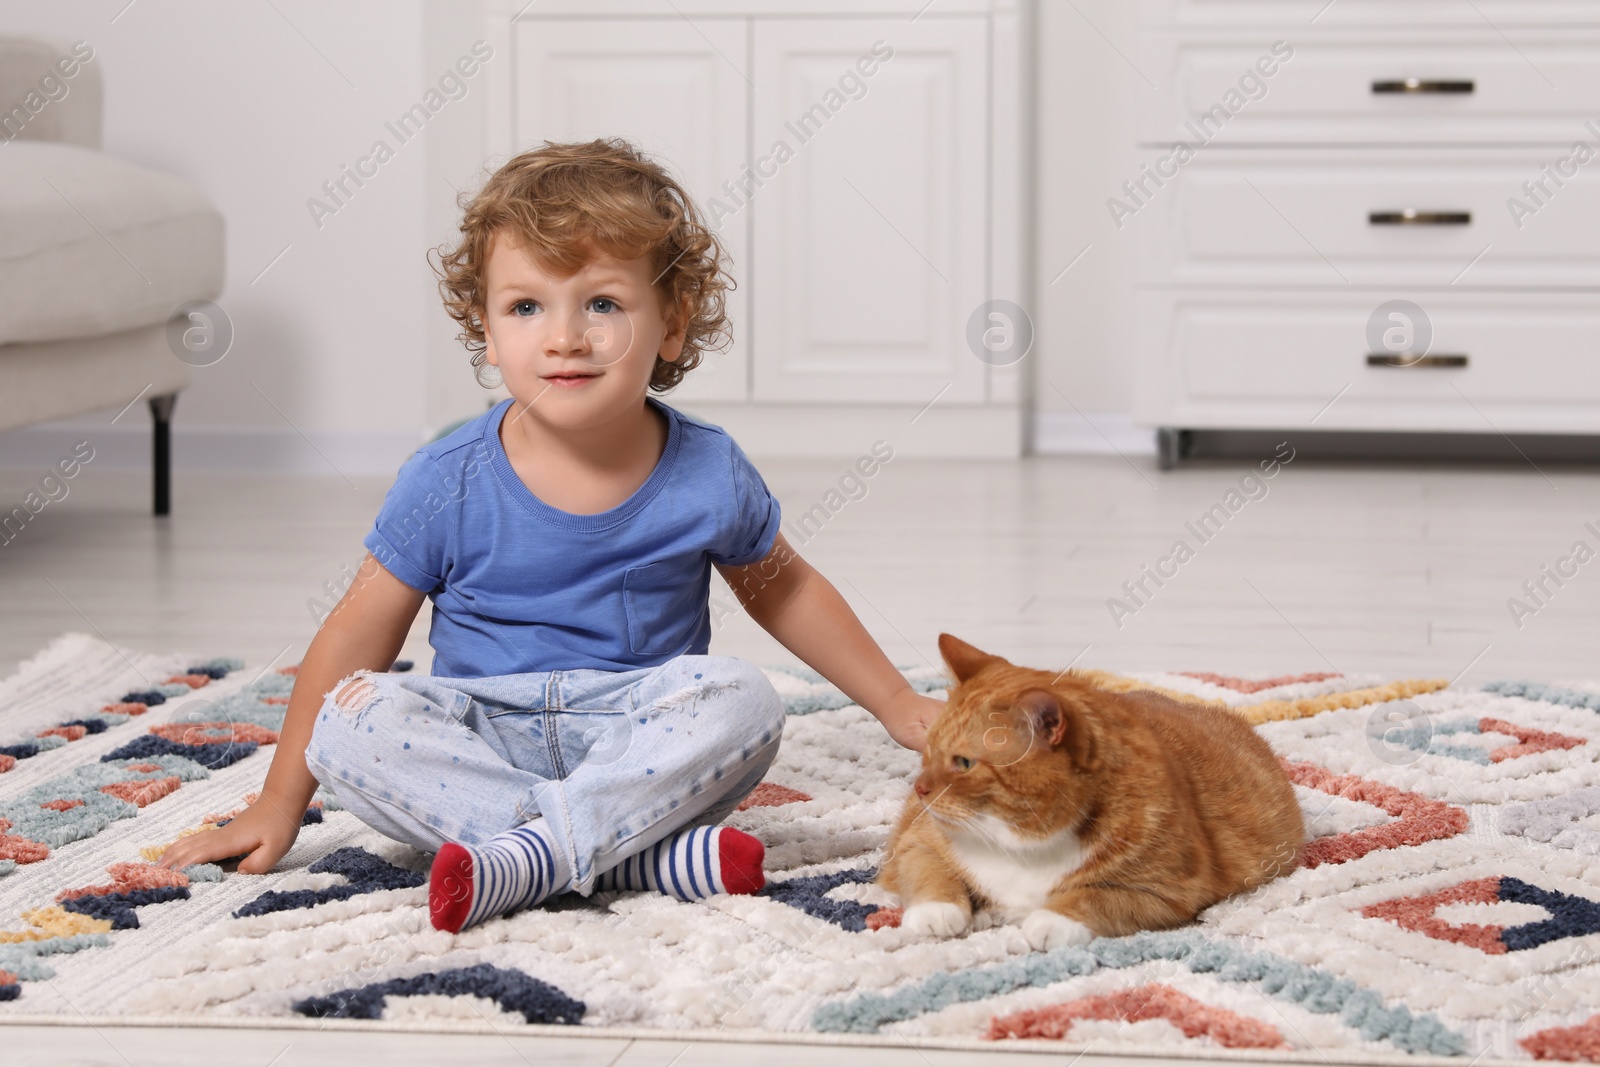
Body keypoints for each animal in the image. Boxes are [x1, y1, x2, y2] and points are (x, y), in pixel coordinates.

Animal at [883, 633, 1305, 953]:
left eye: (965, 763)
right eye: (928, 752)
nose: (920, 788)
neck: (1019, 843)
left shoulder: (1164, 892)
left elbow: (1095, 897)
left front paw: (1049, 921)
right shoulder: (917, 842)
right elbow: (931, 873)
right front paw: (938, 912)